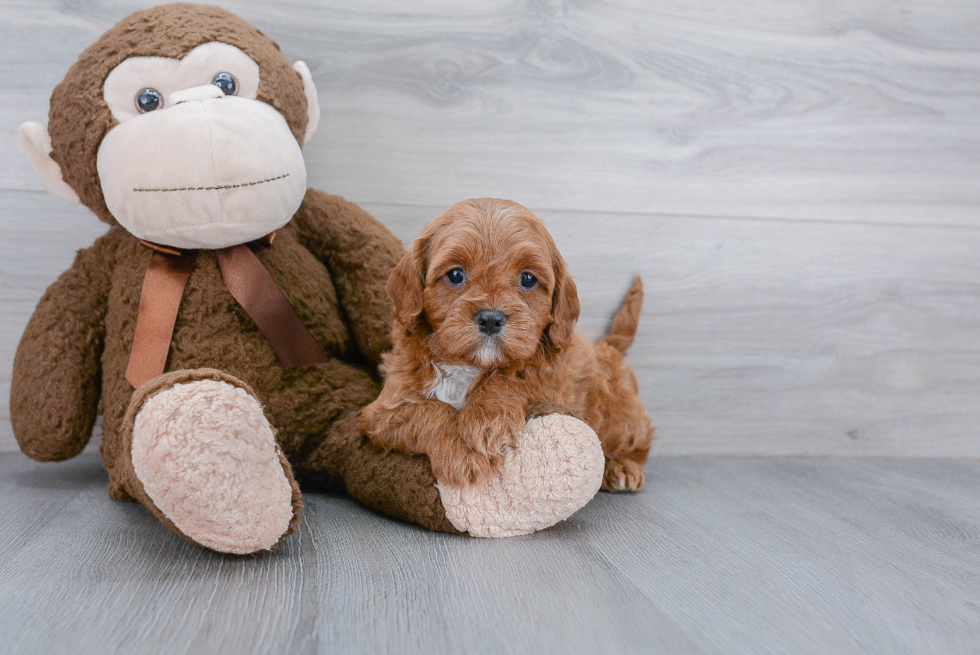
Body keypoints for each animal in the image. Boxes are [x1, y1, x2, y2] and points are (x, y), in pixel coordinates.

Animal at [358, 199, 652, 492]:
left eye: (528, 279)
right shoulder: (382, 413)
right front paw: (461, 453)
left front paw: (487, 418)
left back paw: (621, 466)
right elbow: (429, 411)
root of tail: (607, 347)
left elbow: (514, 375)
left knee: (637, 444)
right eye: (455, 275)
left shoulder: (552, 387)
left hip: (620, 418)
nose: (490, 319)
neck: (470, 365)